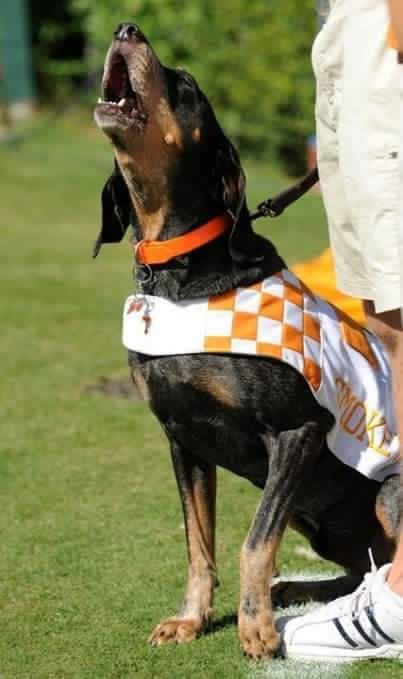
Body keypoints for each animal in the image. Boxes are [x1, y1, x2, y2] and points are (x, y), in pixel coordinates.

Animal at [93, 21, 402, 660]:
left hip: (385, 494)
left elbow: (254, 541)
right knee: (362, 566)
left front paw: (255, 627)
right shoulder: (182, 439)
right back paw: (296, 592)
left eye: (184, 85)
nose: (126, 28)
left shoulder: (296, 432)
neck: (182, 271)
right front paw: (191, 619)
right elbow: (198, 545)